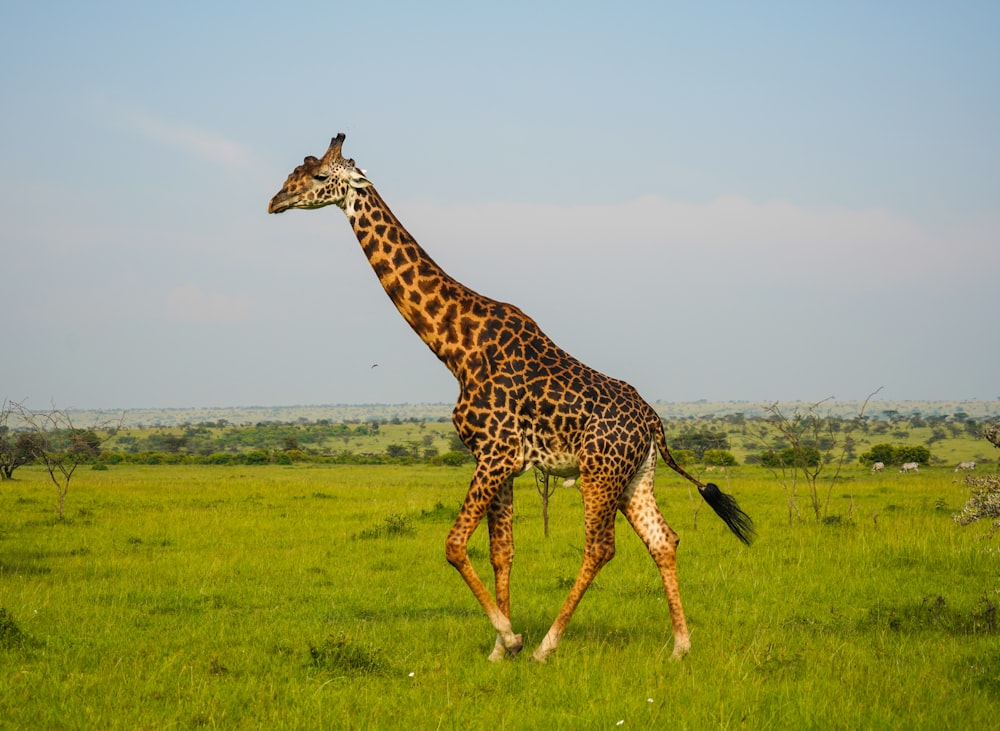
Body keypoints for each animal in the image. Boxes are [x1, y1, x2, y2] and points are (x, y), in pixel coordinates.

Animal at [266, 133, 752, 664]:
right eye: (294, 172)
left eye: (317, 176)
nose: (275, 202)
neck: (455, 347)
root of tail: (654, 424)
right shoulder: (499, 459)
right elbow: (502, 550)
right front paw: (499, 651)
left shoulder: (496, 454)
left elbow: (455, 544)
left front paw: (512, 636)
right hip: (635, 476)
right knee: (664, 540)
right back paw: (680, 646)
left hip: (599, 474)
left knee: (600, 547)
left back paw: (547, 644)